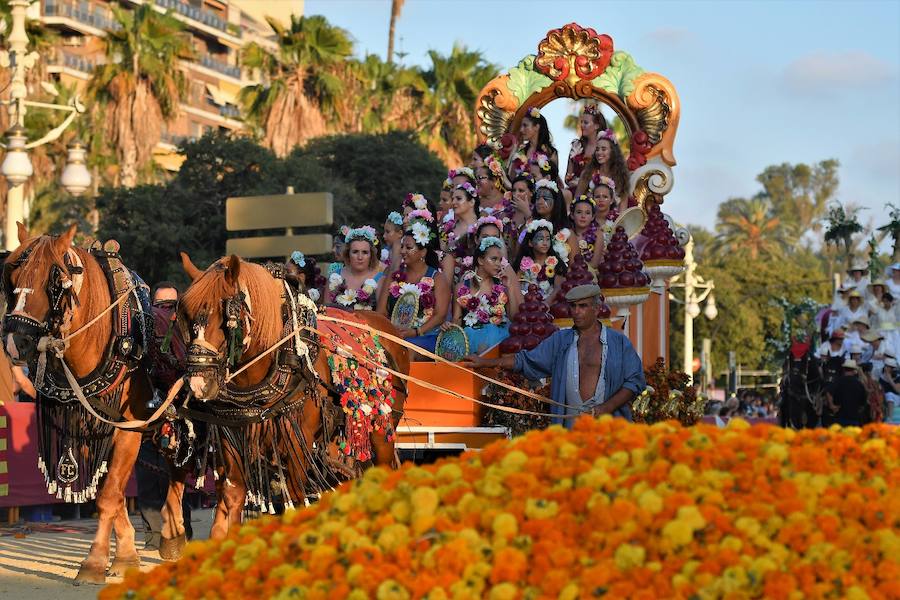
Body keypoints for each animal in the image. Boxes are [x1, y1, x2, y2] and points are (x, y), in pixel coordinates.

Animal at [0, 223, 184, 584]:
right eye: (12, 276)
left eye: (54, 281)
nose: (16, 341)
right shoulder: (85, 429)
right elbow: (108, 492)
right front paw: (125, 555)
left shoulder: (128, 429)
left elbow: (110, 494)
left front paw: (96, 561)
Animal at [173, 253, 412, 540]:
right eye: (185, 317)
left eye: (227, 315)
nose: (199, 383)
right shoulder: (232, 437)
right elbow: (232, 499)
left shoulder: (296, 440)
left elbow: (298, 498)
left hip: (381, 430)